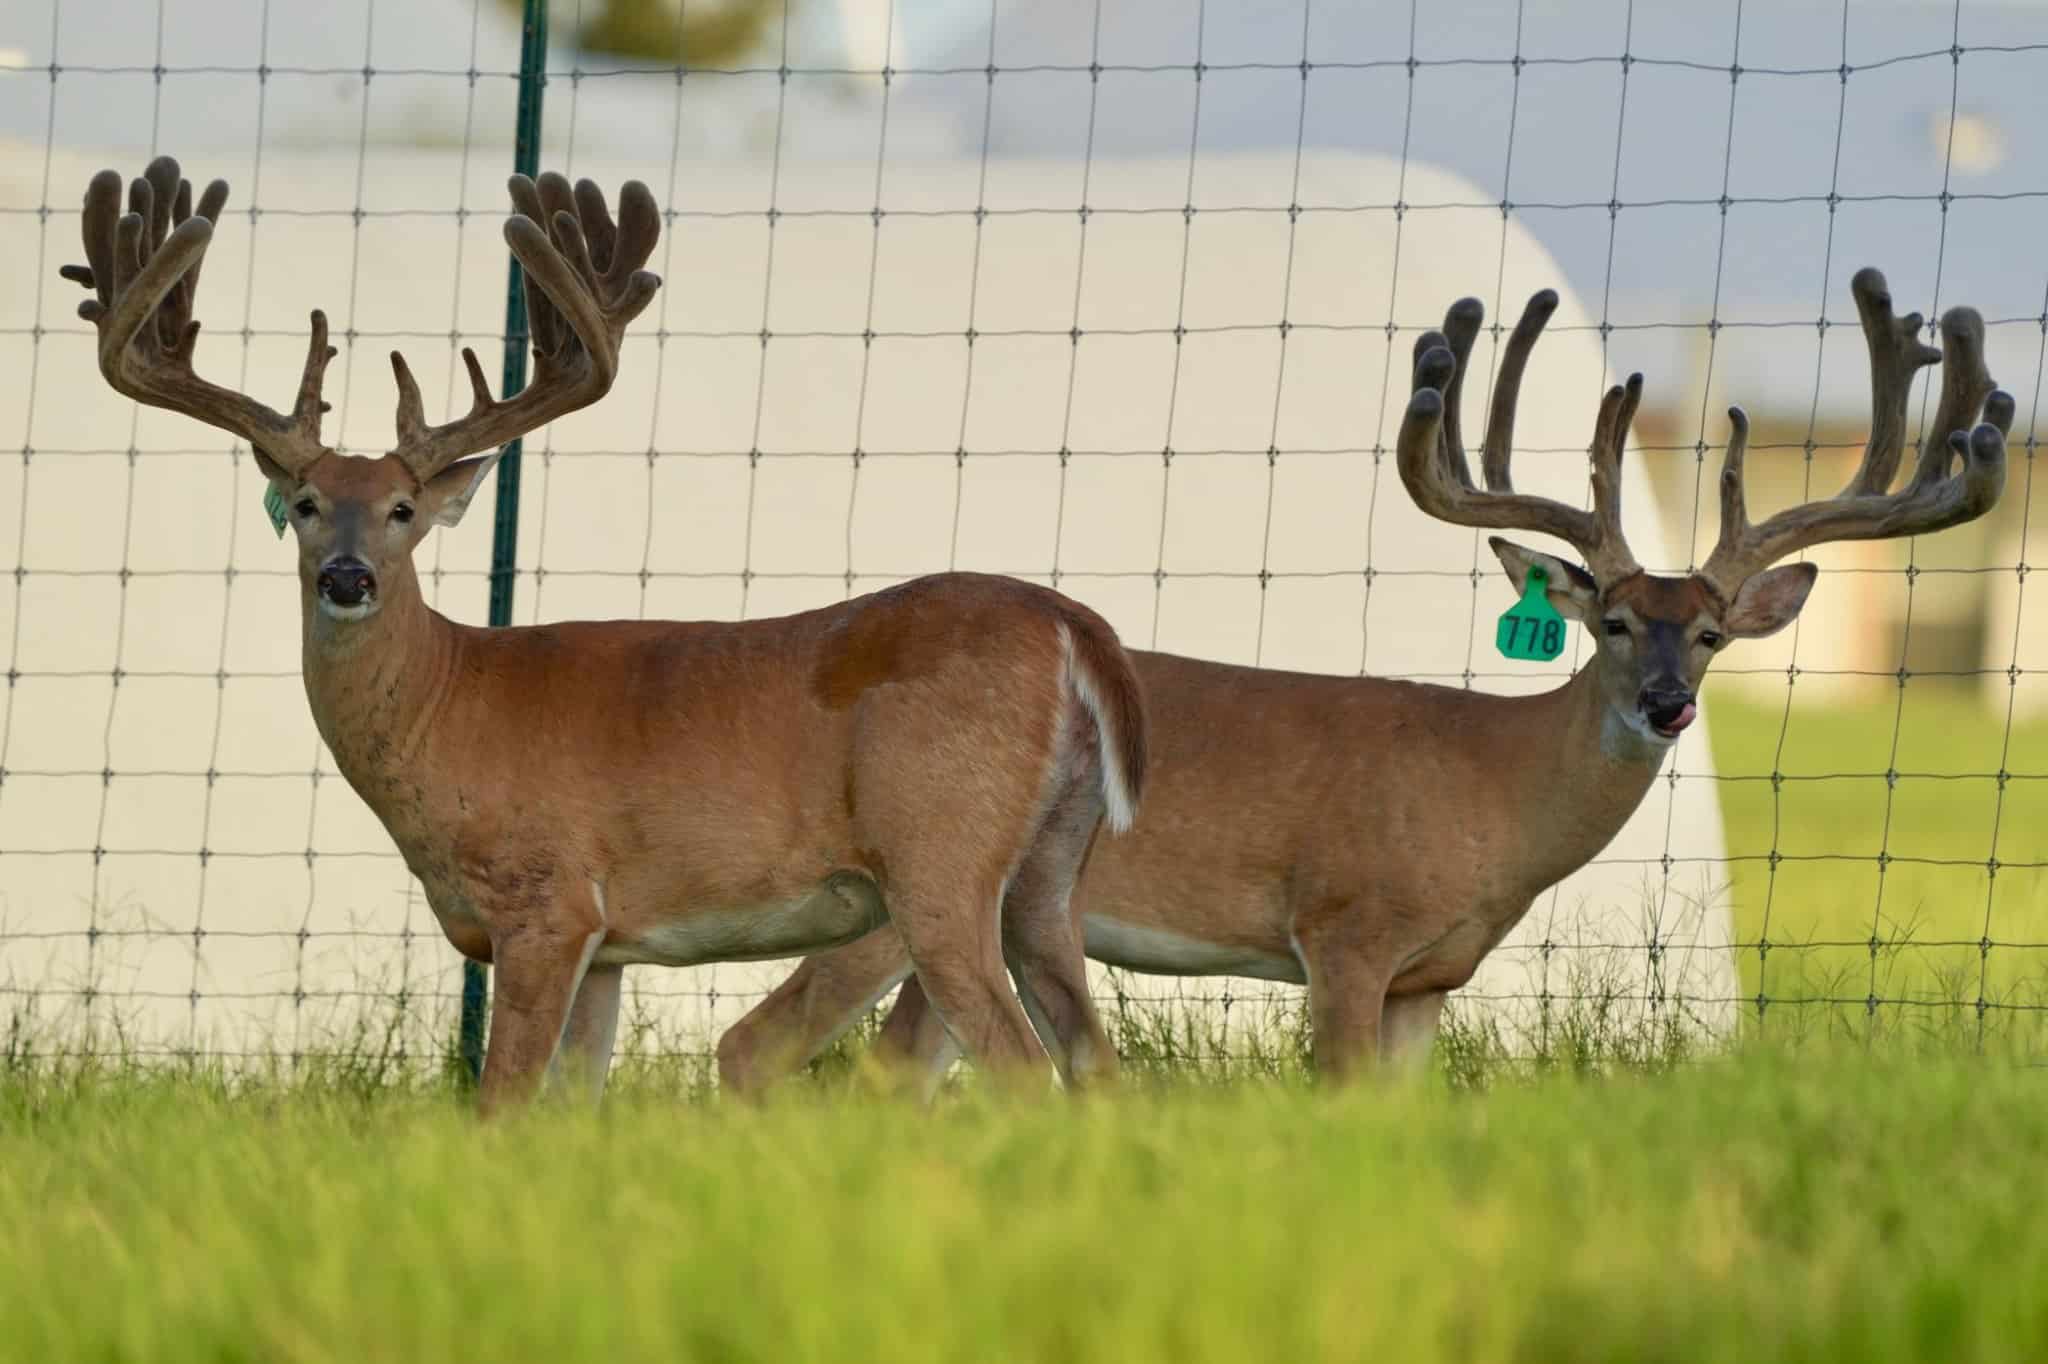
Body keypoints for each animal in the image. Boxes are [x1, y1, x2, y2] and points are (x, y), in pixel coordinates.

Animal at [62, 156, 1149, 1112]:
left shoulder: (546, 901)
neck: (447, 705)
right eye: (304, 503)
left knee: (1023, 1068)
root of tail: (1070, 622)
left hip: (939, 853)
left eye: (404, 509)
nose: (347, 576)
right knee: (1095, 1068)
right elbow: (571, 1112)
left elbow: (500, 1107)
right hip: (1048, 873)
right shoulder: (608, 947)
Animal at [714, 267, 2013, 1095]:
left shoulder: (1427, 979)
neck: (1493, 790)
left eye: (1708, 635)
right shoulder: (1343, 927)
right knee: (772, 1049)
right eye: (1608, 619)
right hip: (903, 891)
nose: (1662, 703)